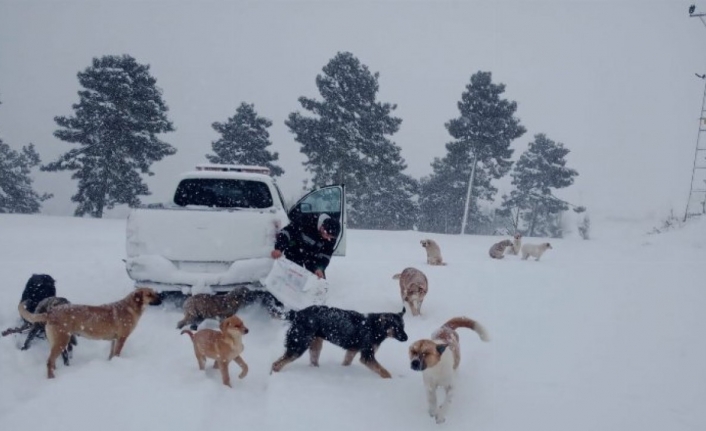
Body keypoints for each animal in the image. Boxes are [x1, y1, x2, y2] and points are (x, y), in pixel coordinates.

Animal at [18, 288, 162, 380]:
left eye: (154, 292)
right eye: (149, 294)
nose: (162, 298)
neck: (130, 307)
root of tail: (50, 312)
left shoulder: (114, 340)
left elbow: (111, 354)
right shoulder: (122, 338)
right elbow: (117, 353)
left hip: (56, 342)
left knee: (52, 362)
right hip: (62, 341)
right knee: (49, 362)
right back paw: (52, 378)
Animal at [272, 306, 410, 380]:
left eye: (403, 326)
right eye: (396, 328)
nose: (407, 338)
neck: (376, 327)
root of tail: (297, 314)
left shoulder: (352, 351)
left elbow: (346, 362)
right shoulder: (367, 356)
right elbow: (383, 371)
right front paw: (391, 380)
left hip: (315, 344)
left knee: (312, 361)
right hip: (298, 345)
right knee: (276, 364)